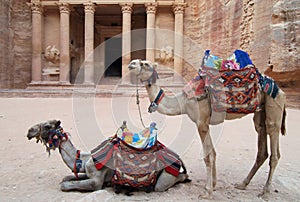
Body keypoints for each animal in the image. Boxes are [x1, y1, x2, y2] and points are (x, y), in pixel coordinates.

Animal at [127, 59, 288, 198]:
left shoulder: (201, 123)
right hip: (260, 110)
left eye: (145, 64)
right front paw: (214, 185)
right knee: (261, 140)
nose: (131, 63)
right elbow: (213, 153)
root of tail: (279, 89)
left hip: (274, 103)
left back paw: (265, 191)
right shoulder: (205, 124)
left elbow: (208, 156)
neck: (184, 102)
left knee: (274, 143)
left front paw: (207, 192)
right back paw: (242, 184)